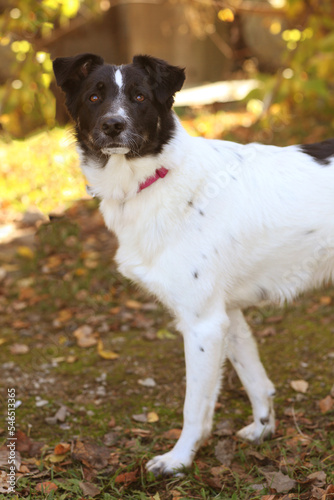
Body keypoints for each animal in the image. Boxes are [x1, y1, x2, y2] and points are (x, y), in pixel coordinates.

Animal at [52, 53, 334, 476]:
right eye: (93, 97)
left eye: (139, 96)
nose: (113, 125)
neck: (156, 177)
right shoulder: (226, 315)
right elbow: (254, 378)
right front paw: (262, 429)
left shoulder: (202, 325)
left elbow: (195, 407)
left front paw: (180, 458)